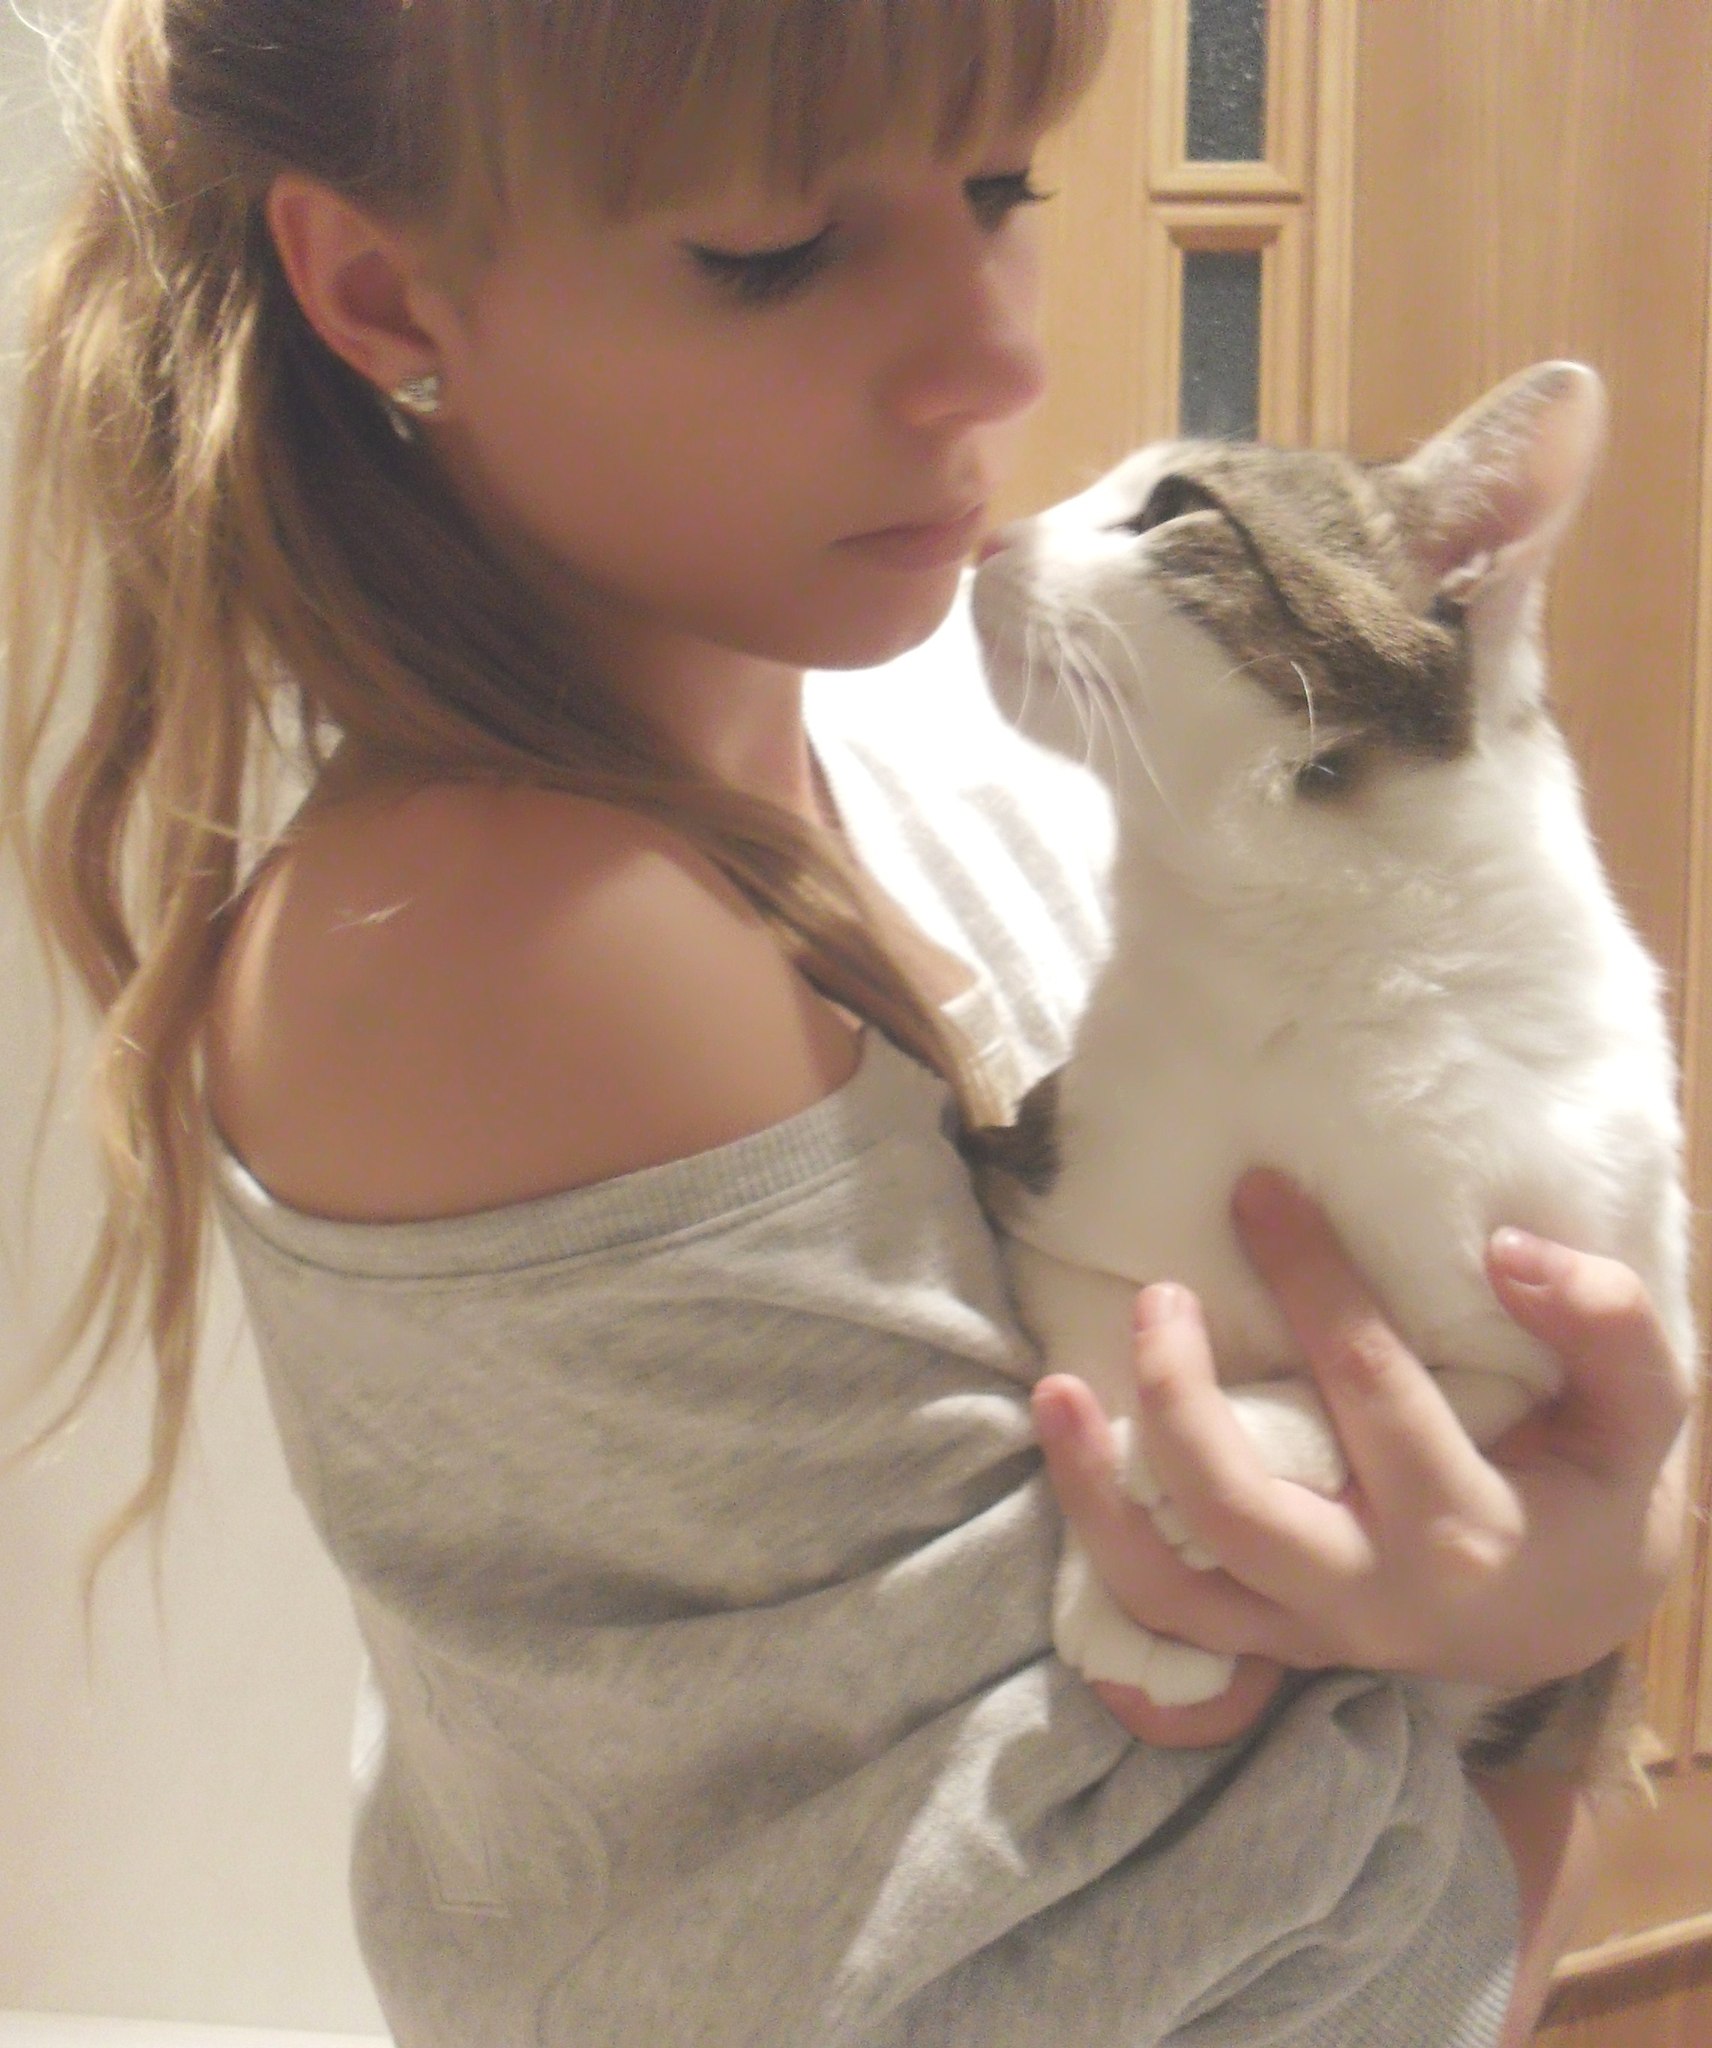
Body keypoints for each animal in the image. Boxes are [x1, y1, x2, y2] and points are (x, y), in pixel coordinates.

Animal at [962, 361, 1695, 1772]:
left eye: (1172, 509)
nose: (984, 540)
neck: (1314, 948)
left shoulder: (1567, 1308)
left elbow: (1426, 1384)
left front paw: (1233, 1446)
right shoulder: (1051, 1190)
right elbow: (1112, 1327)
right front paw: (1130, 1586)